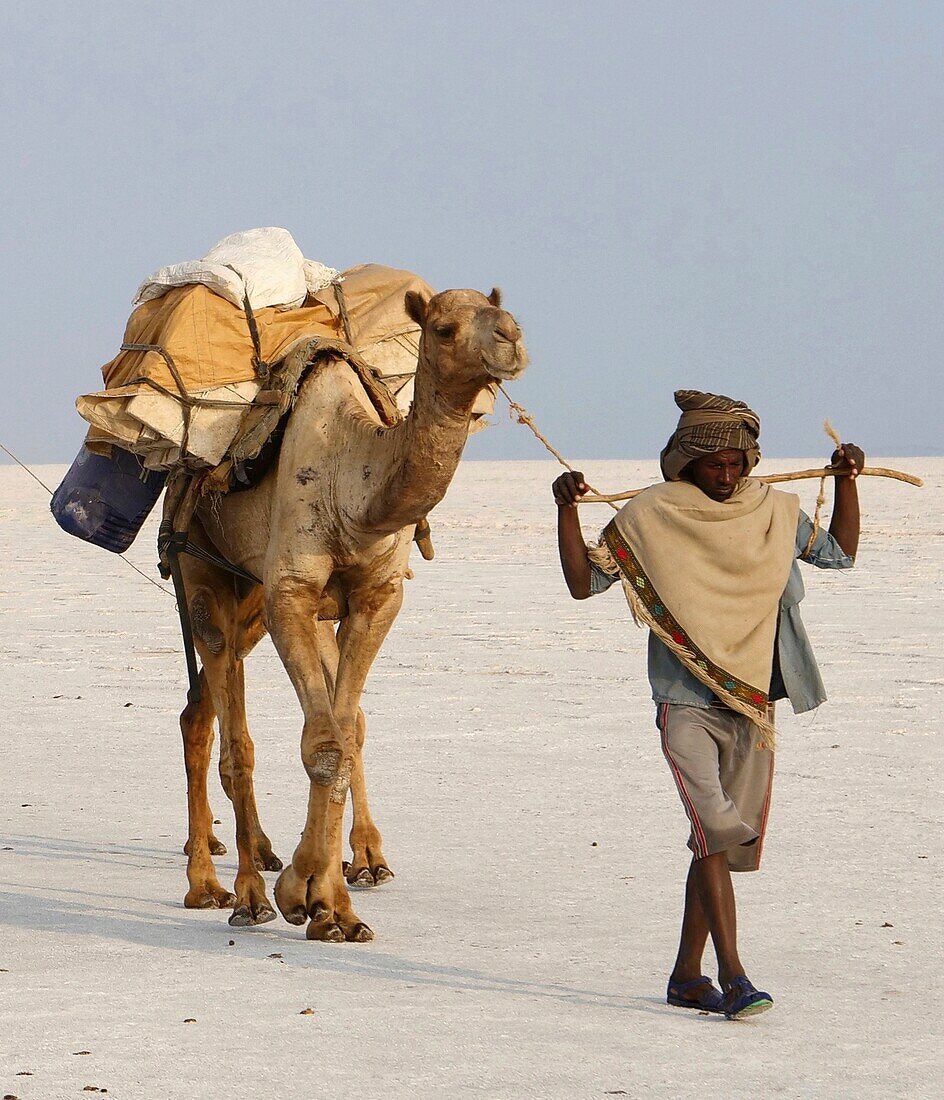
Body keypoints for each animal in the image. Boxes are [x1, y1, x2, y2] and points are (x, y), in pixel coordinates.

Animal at [172, 288, 525, 941]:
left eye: (506, 314)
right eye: (443, 328)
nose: (510, 338)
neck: (353, 484)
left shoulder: (374, 597)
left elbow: (345, 730)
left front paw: (334, 902)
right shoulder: (290, 592)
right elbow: (323, 744)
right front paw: (300, 892)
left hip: (254, 596)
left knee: (210, 711)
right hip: (201, 567)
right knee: (230, 736)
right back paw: (228, 891)